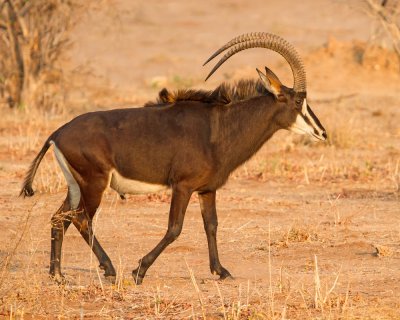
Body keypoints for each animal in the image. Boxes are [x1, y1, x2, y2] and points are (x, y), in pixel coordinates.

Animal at [21, 32, 324, 284]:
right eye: (299, 101)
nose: (322, 132)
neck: (218, 128)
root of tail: (58, 133)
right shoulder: (183, 186)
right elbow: (174, 228)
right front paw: (139, 270)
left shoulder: (207, 189)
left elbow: (211, 225)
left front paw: (221, 271)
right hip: (94, 184)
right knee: (82, 219)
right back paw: (109, 269)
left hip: (76, 186)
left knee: (60, 218)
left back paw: (57, 275)